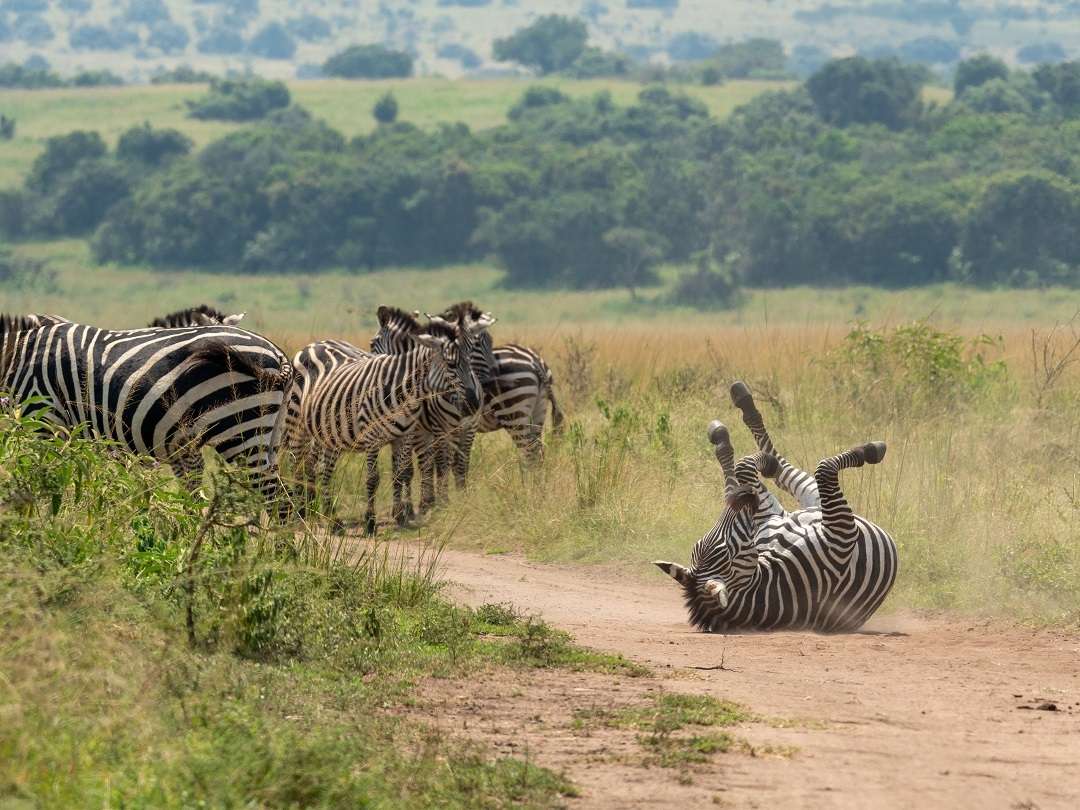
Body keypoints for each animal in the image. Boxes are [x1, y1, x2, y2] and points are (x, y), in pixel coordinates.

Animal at [0, 313, 293, 505]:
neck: (15, 356)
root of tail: (278, 353)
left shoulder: (44, 418)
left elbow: (47, 480)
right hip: (269, 433)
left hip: (240, 429)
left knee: (274, 498)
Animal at [282, 313, 481, 535]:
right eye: (451, 364)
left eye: (470, 360)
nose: (474, 403)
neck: (403, 391)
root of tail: (313, 344)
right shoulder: (372, 438)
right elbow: (373, 478)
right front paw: (370, 522)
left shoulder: (403, 437)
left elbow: (400, 473)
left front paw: (401, 515)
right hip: (296, 425)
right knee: (297, 465)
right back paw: (302, 514)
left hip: (329, 431)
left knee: (322, 469)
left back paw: (331, 520)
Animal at [652, 380, 898, 635]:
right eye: (726, 552)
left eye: (701, 544)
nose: (744, 497)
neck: (769, 578)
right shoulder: (842, 534)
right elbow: (824, 467)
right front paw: (867, 452)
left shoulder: (761, 518)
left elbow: (744, 466)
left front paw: (760, 464)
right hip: (796, 504)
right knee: (787, 474)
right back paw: (873, 449)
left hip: (777, 512)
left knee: (754, 473)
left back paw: (733, 418)